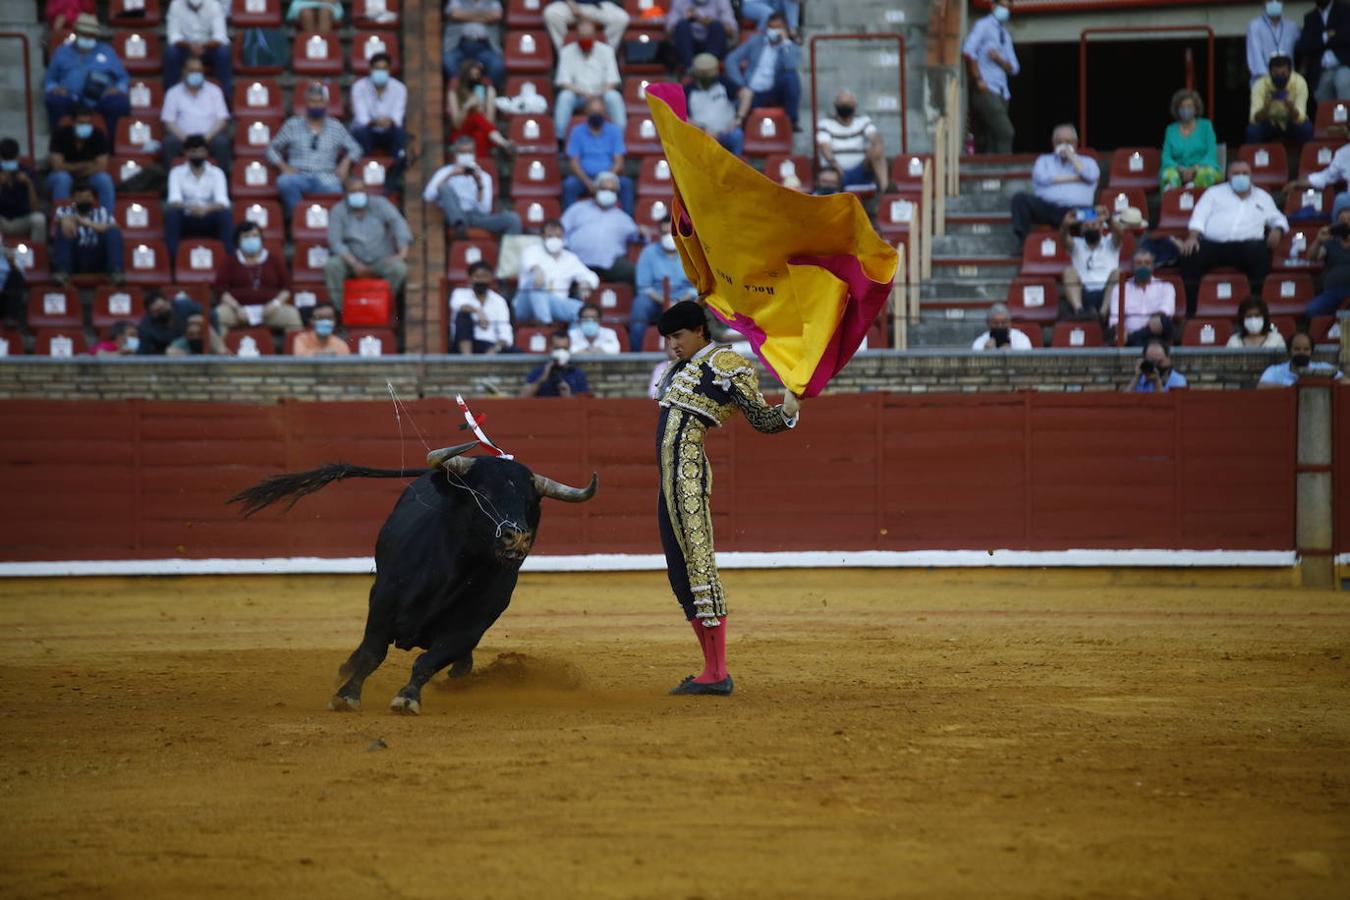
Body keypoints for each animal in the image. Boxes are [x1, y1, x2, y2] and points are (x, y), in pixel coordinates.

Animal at [229, 439, 599, 712]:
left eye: (529, 503)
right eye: (483, 493)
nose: (517, 537)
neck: (454, 572)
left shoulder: (469, 628)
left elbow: (428, 661)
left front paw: (407, 697)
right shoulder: (382, 602)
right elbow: (372, 652)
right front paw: (347, 694)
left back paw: (460, 675)